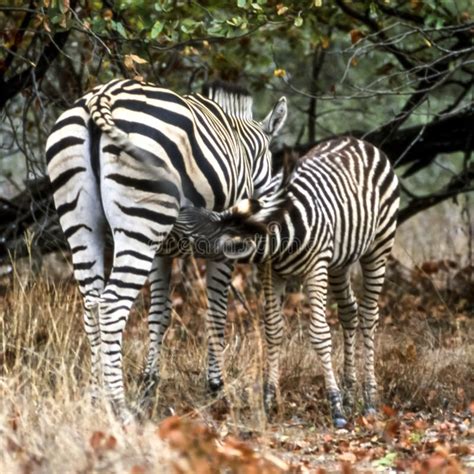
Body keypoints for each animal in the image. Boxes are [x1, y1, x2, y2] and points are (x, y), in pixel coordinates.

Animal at [46, 78, 286, 422]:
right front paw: (216, 388)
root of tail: (102, 95)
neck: (242, 149)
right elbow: (216, 313)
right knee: (111, 306)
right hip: (139, 224)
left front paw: (150, 384)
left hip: (81, 219)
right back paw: (118, 406)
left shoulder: (162, 252)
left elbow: (158, 315)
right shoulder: (222, 248)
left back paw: (95, 398)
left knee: (92, 305)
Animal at [178, 138, 400, 430]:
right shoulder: (272, 273)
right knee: (349, 312)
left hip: (379, 246)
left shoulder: (316, 267)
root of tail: (359, 141)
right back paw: (351, 392)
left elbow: (319, 333)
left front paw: (336, 407)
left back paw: (369, 399)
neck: (281, 235)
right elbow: (273, 330)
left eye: (189, 230)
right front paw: (268, 398)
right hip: (340, 260)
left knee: (368, 315)